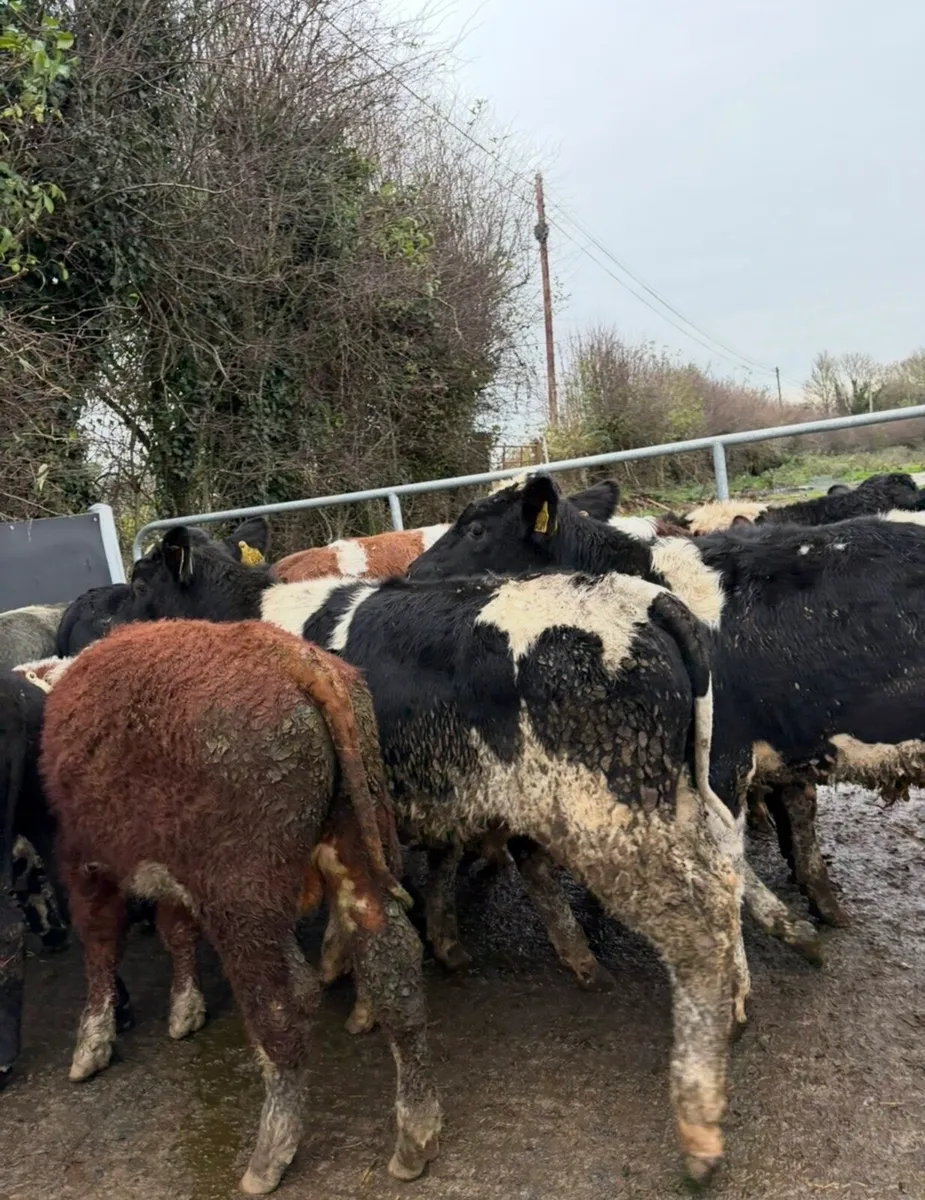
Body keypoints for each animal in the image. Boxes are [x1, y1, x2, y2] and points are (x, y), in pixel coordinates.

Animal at [39, 618, 439, 1195]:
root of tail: (296, 658)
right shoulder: (173, 876)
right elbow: (176, 930)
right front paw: (186, 1009)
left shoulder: (86, 863)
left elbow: (100, 944)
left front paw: (91, 1043)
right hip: (352, 848)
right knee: (393, 965)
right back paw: (415, 1134)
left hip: (243, 897)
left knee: (284, 1004)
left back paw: (271, 1151)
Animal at [83, 526, 765, 1185]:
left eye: (139, 584)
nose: (99, 639)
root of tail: (644, 599)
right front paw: (357, 987)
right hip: (679, 795)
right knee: (723, 876)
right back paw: (733, 1004)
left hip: (607, 812)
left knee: (695, 929)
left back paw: (698, 1127)